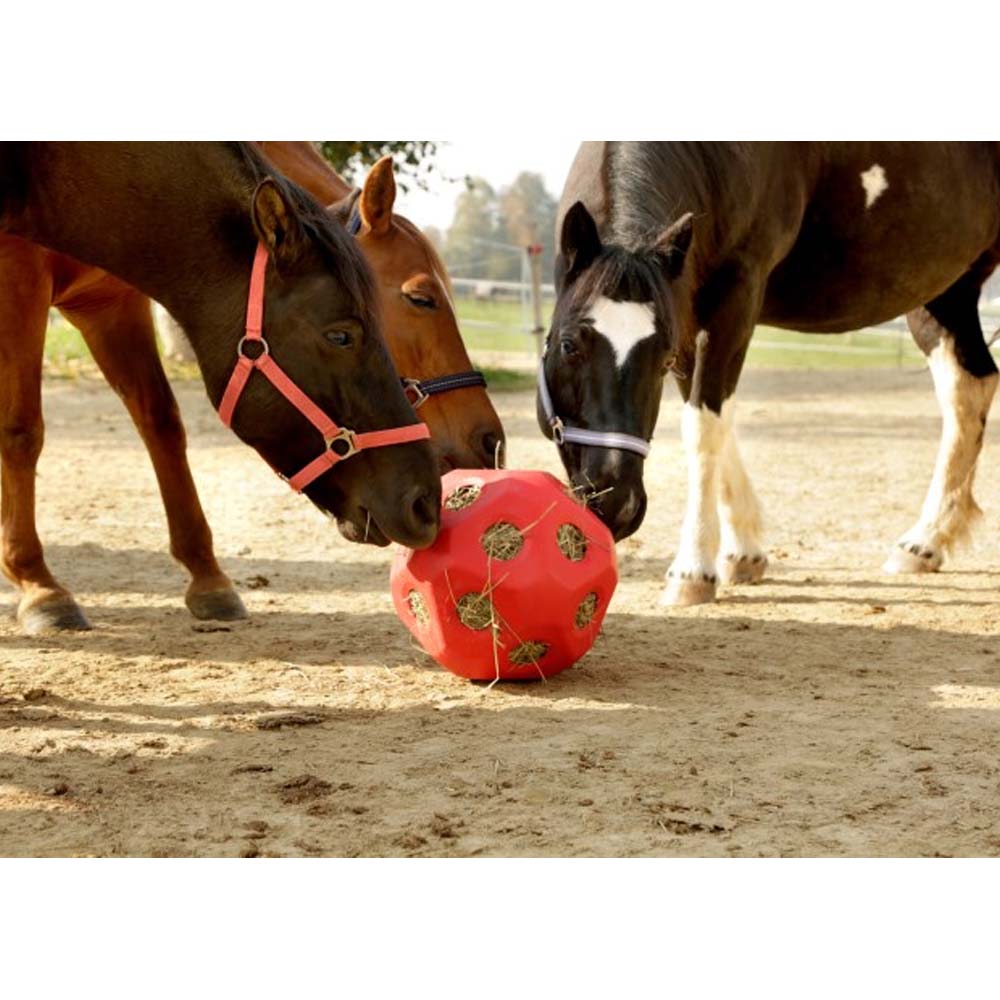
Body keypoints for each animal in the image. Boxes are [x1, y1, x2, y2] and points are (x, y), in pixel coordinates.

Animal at [0, 141, 440, 632]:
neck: (46, 165)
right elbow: (22, 431)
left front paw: (208, 579)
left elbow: (162, 422)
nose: (426, 503)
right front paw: (40, 587)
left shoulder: (108, 304)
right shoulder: (18, 278)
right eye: (341, 336)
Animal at [540, 144, 1000, 604]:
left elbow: (704, 428)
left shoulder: (736, 296)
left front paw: (692, 572)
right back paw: (926, 542)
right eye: (568, 345)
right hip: (947, 290)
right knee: (970, 389)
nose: (617, 503)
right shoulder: (688, 313)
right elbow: (713, 420)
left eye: (663, 359)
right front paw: (744, 554)